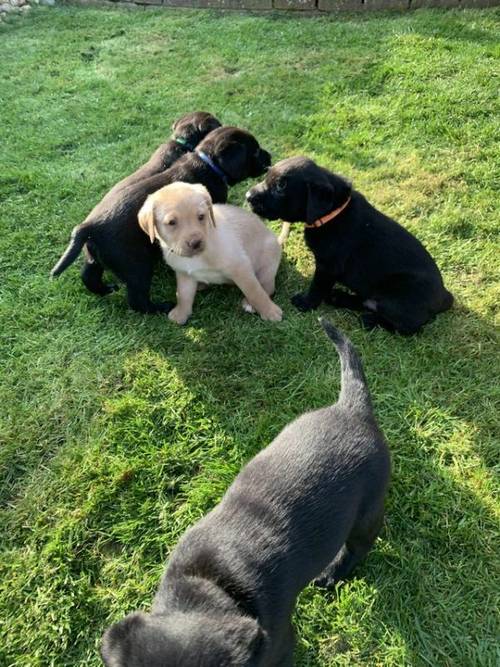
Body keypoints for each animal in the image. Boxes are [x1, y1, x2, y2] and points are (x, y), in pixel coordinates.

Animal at [100, 320, 390, 664]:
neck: (210, 586)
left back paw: (333, 573)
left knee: (359, 546)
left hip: (368, 509)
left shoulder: (279, 645)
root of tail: (352, 409)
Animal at [138, 183, 286, 324]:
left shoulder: (240, 267)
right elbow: (183, 294)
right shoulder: (184, 274)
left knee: (267, 286)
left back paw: (250, 304)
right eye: (171, 222)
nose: (195, 243)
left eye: (201, 216)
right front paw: (180, 313)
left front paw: (269, 311)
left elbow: (255, 292)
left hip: (267, 264)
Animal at [246, 155, 454, 334]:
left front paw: (306, 303)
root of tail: (445, 296)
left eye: (280, 186)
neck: (332, 213)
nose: (248, 196)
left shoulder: (328, 267)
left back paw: (370, 320)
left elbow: (317, 286)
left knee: (407, 328)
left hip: (398, 298)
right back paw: (339, 297)